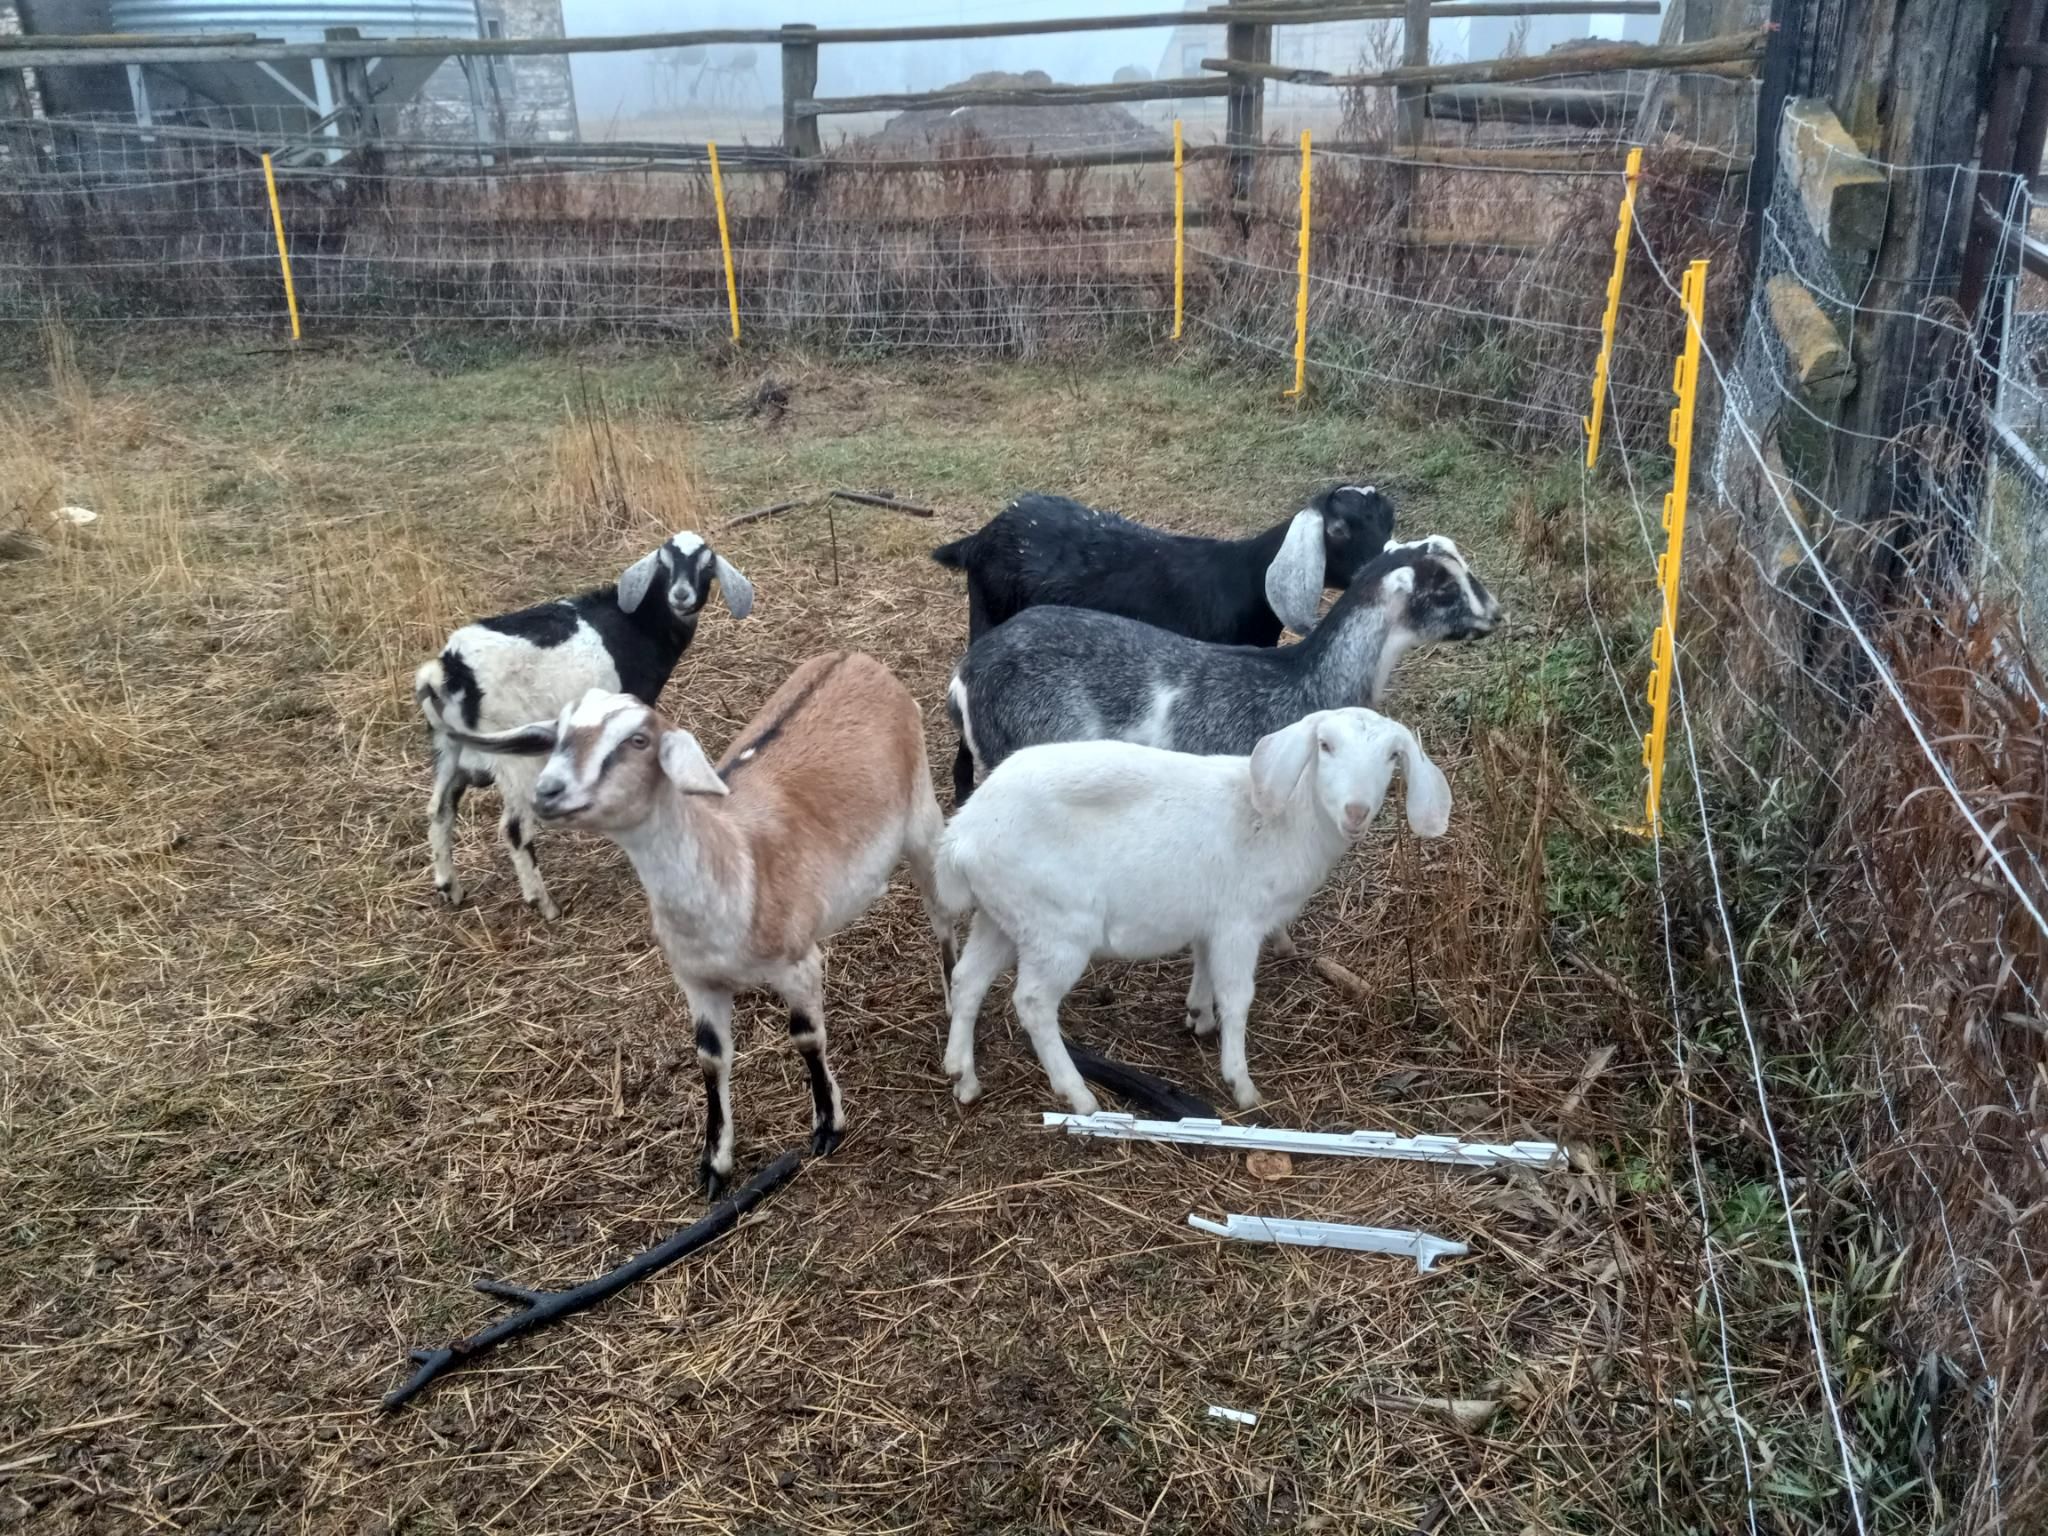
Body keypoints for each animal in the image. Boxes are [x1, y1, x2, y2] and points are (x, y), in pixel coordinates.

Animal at [414, 532, 751, 918]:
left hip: (448, 746)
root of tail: (448, 672)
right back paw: (544, 904)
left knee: (439, 810)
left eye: (707, 565)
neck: (641, 622)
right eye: (664, 564)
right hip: (512, 756)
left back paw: (449, 887)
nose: (681, 595)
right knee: (514, 828)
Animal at [431, 654, 952, 1198]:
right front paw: (715, 1164)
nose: (548, 791)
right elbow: (711, 1058)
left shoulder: (796, 963)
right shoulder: (697, 981)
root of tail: (856, 658)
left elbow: (807, 1037)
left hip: (922, 821)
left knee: (941, 915)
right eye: (557, 736)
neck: (735, 861)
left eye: (638, 740)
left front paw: (828, 1126)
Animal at [931, 484, 1395, 803]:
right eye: (1339, 530)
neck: (1243, 580)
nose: (1382, 566)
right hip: (988, 618)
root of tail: (980, 537)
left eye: (1387, 521)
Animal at [936, 708, 1452, 1112]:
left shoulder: (1209, 921)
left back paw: (962, 1075)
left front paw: (1199, 1016)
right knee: (1033, 1002)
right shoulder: (1239, 923)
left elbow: (1203, 968)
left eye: (1393, 756)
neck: (1286, 821)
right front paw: (1241, 1084)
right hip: (1057, 924)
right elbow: (1238, 997)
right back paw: (1078, 1095)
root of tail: (964, 835)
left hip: (1003, 915)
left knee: (967, 979)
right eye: (1325, 745)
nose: (1356, 811)